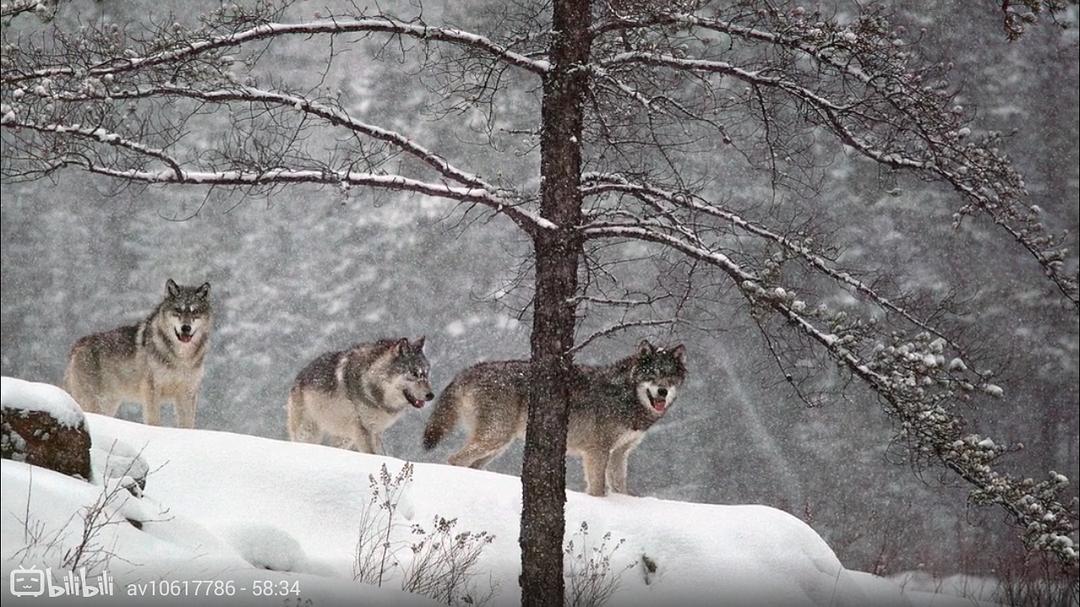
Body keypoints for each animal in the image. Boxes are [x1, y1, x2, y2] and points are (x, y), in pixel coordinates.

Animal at [64, 279, 212, 428]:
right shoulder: (151, 390)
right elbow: (154, 422)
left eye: (195, 311)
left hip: (109, 404)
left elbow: (188, 425)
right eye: (178, 310)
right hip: (91, 401)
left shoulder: (187, 394)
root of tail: (77, 344)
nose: (186, 328)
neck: (181, 357)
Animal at [286, 337, 435, 455]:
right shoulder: (364, 430)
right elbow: (372, 454)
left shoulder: (376, 431)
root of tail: (299, 377)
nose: (431, 395)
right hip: (308, 432)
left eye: (426, 374)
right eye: (414, 373)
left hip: (345, 438)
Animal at [423, 339, 687, 496]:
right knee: (454, 458)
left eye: (670, 377)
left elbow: (621, 487)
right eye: (652, 375)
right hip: (495, 437)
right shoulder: (597, 451)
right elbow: (598, 489)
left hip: (499, 445)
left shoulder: (620, 453)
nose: (662, 391)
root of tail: (465, 372)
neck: (625, 395)